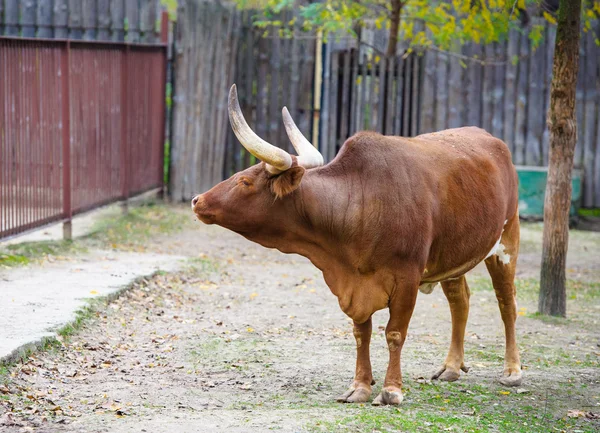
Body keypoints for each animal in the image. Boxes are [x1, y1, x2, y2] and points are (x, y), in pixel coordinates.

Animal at [192, 84, 520, 404]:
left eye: (244, 182)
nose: (197, 200)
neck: (361, 203)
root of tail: (493, 140)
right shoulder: (356, 285)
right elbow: (362, 333)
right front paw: (360, 387)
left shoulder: (407, 279)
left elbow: (395, 333)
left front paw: (391, 389)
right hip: (453, 256)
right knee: (460, 300)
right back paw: (452, 367)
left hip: (506, 242)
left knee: (507, 303)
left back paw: (512, 371)